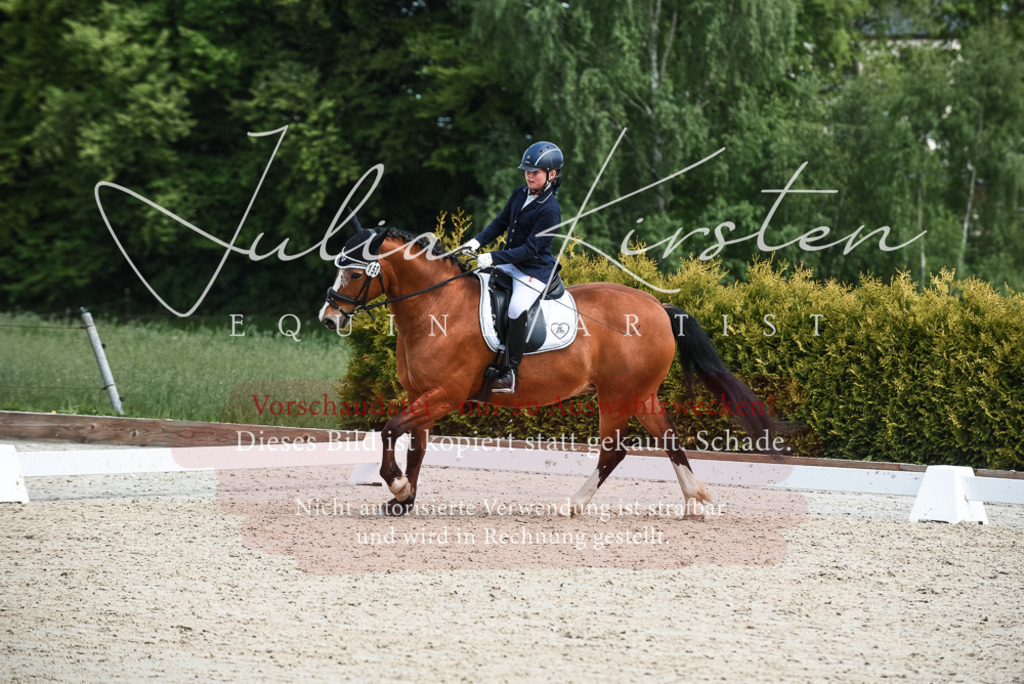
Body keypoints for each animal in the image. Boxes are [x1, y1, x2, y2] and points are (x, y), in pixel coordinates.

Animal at [318, 227, 777, 518]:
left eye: (355, 272)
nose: (329, 318)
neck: (435, 308)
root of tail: (658, 307)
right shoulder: (422, 396)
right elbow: (415, 446)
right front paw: (405, 499)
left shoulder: (445, 394)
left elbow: (389, 430)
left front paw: (396, 486)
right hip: (639, 394)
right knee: (669, 438)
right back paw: (693, 501)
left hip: (617, 396)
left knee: (614, 451)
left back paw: (572, 505)